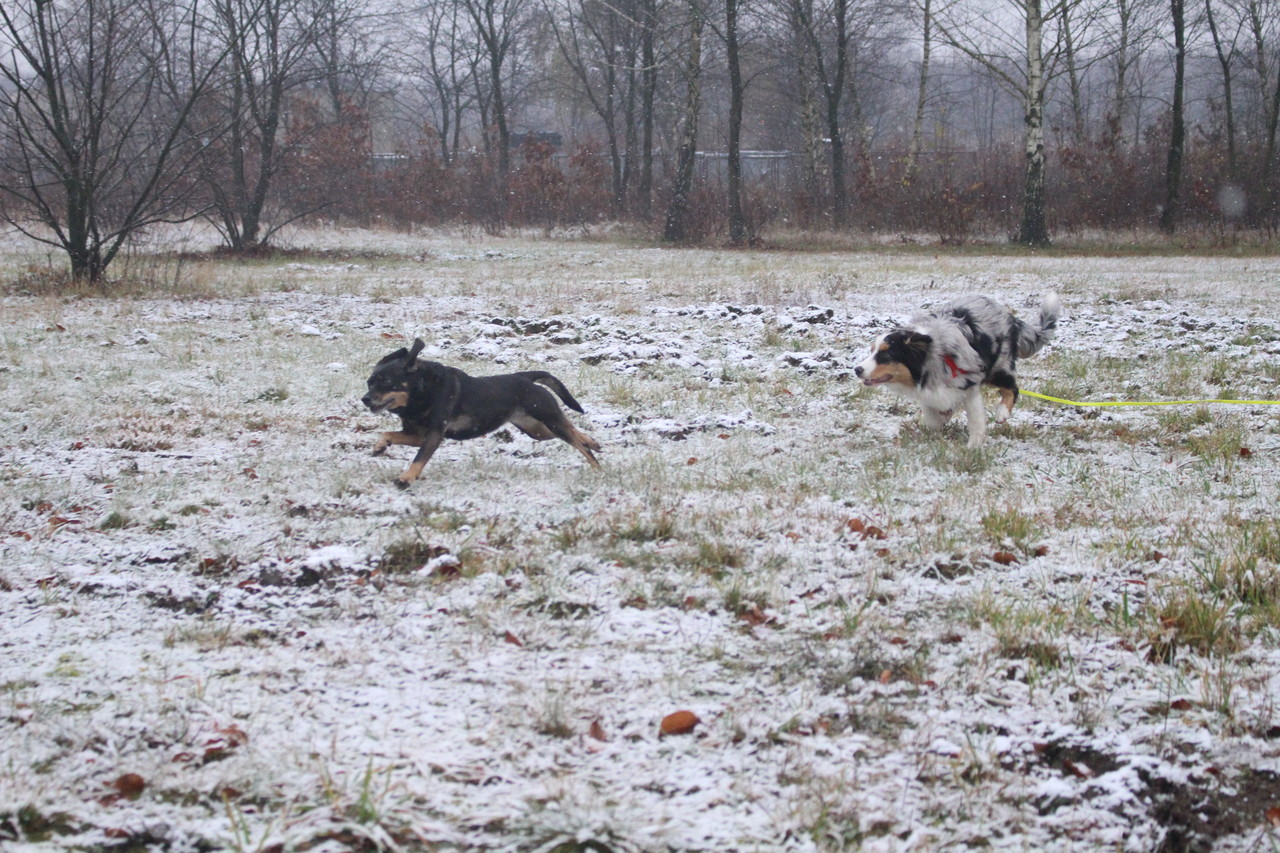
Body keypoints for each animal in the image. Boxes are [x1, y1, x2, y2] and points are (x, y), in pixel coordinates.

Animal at [362, 339, 601, 486]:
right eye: (369, 382)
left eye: (386, 382)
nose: (365, 399)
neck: (422, 393)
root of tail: (525, 377)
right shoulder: (418, 435)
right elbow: (388, 434)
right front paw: (380, 446)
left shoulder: (434, 435)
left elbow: (419, 458)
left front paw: (406, 478)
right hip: (536, 429)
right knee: (571, 429)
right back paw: (593, 442)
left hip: (547, 419)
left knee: (576, 441)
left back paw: (597, 465)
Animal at [854, 294, 1061, 447]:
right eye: (872, 351)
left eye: (886, 354)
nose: (857, 369)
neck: (934, 357)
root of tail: (1009, 316)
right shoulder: (929, 391)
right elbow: (933, 418)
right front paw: (942, 418)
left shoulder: (969, 384)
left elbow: (976, 421)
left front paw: (973, 448)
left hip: (998, 366)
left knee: (1012, 387)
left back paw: (1002, 412)